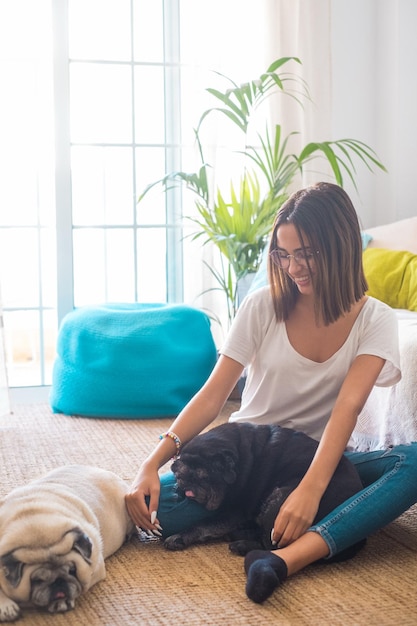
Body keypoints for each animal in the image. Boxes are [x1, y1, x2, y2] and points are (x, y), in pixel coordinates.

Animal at [0, 464, 134, 620]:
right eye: (37, 581)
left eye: (72, 571)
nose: (58, 583)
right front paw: (6, 605)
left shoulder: (95, 568)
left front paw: (61, 602)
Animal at [164, 422, 366, 560]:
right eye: (180, 477)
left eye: (204, 477)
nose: (187, 487)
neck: (240, 457)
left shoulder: (235, 511)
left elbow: (204, 524)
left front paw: (179, 537)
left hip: (280, 501)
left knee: (272, 546)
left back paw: (241, 544)